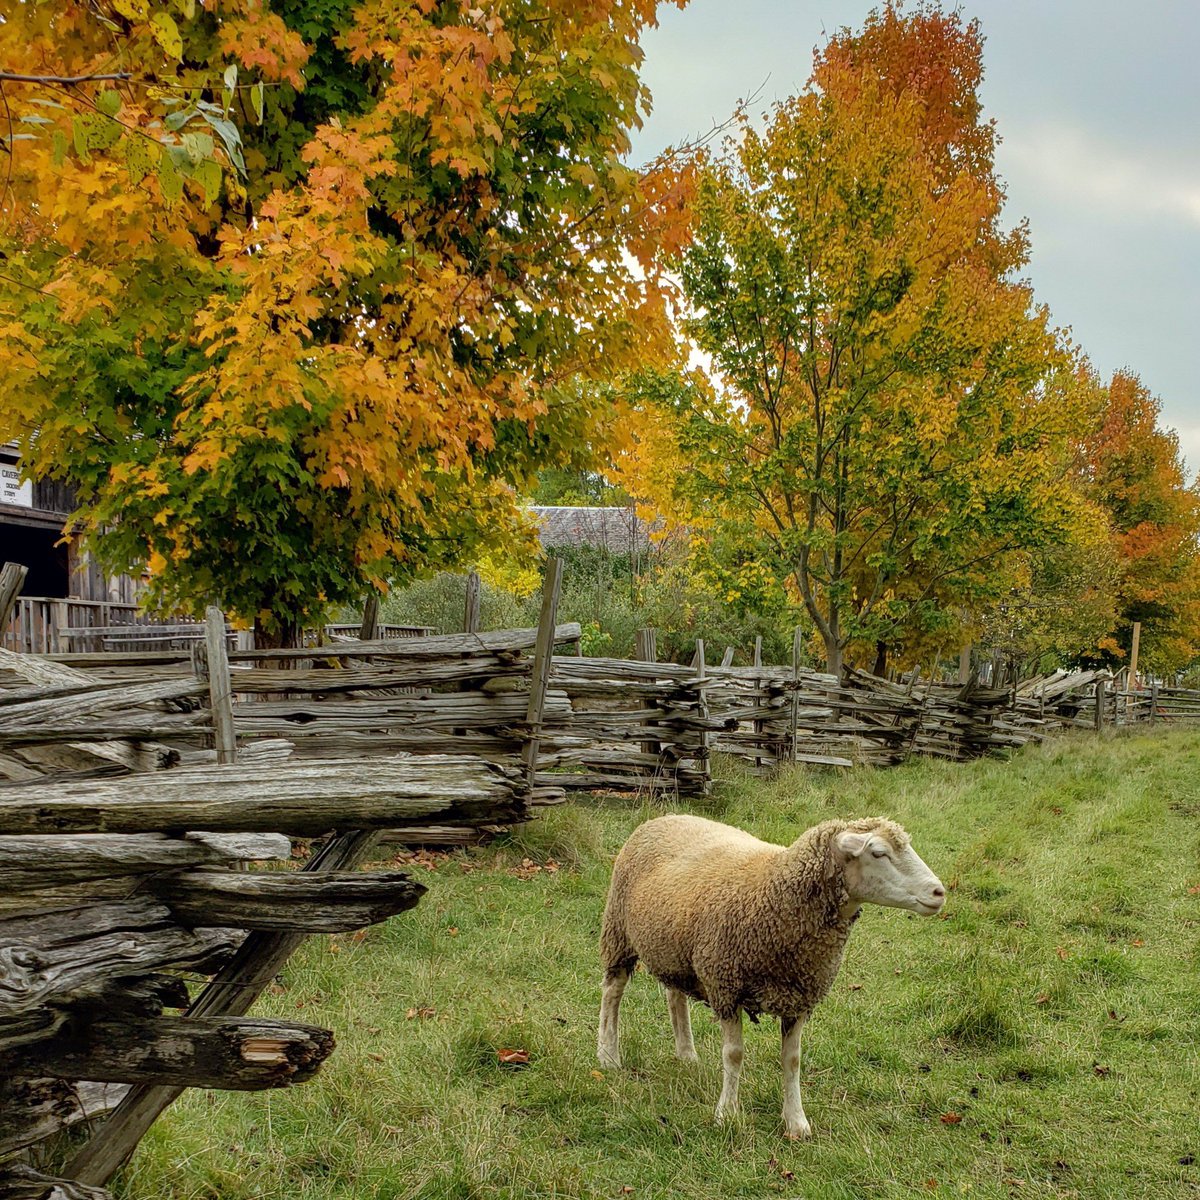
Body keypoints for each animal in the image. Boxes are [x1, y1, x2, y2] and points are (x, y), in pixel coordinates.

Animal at [595, 811, 940, 1137]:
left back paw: (686, 1054)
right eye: (879, 853)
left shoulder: (799, 997)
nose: (938, 892)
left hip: (673, 945)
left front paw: (796, 1122)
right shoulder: (726, 987)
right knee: (612, 991)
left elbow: (792, 1060)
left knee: (674, 995)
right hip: (618, 931)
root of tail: (665, 816)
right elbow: (733, 1054)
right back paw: (608, 1056)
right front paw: (727, 1114)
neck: (775, 891)